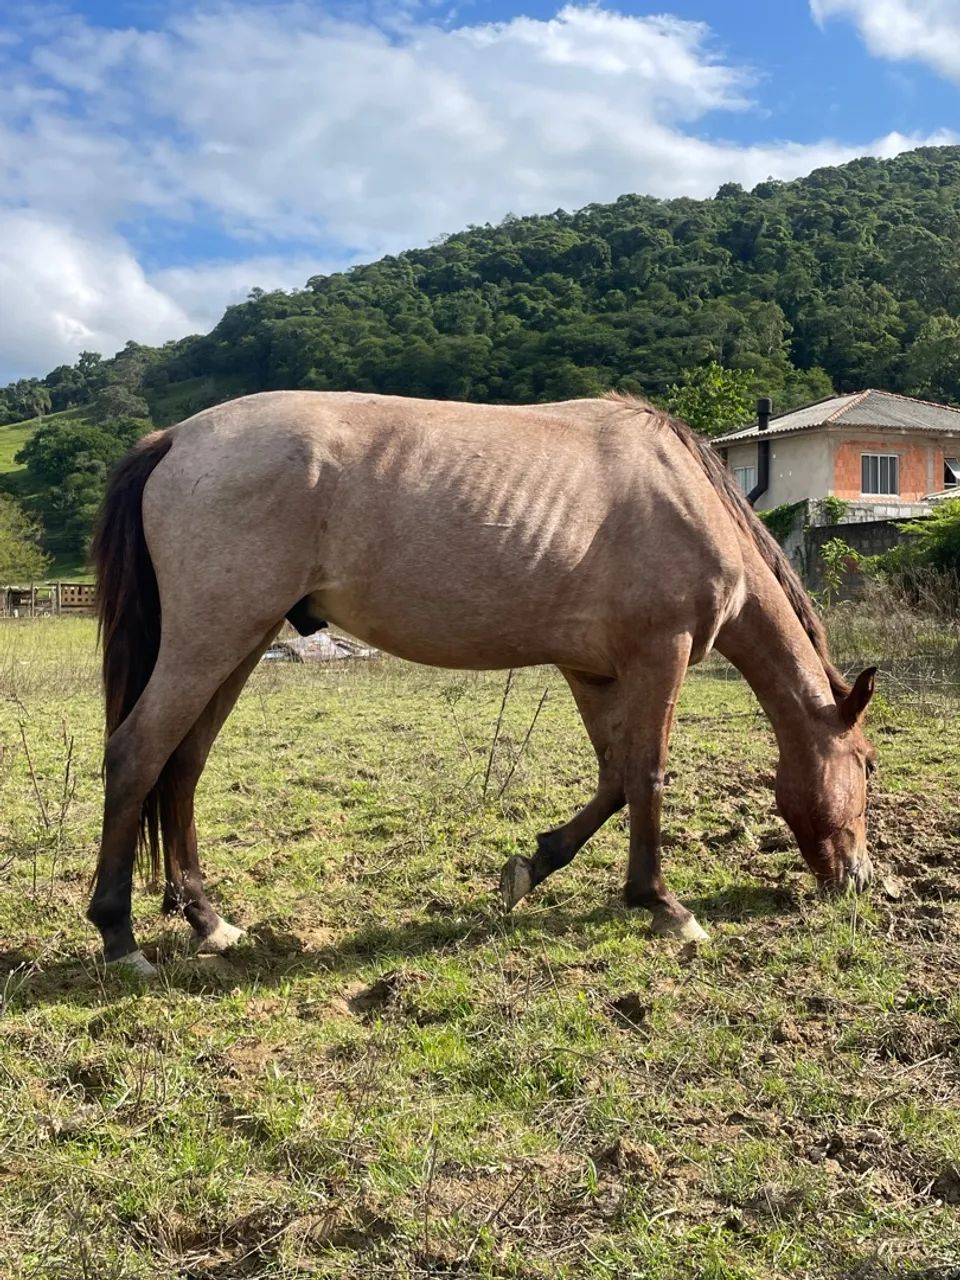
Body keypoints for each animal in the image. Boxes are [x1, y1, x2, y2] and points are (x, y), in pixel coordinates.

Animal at [88, 391, 878, 978]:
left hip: (240, 643)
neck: (682, 494)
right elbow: (648, 774)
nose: (860, 880)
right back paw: (119, 937)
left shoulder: (593, 670)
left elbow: (616, 778)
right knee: (136, 756)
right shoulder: (663, 653)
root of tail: (175, 440)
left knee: (182, 766)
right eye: (868, 765)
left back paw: (208, 921)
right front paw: (663, 906)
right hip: (211, 639)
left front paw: (532, 866)